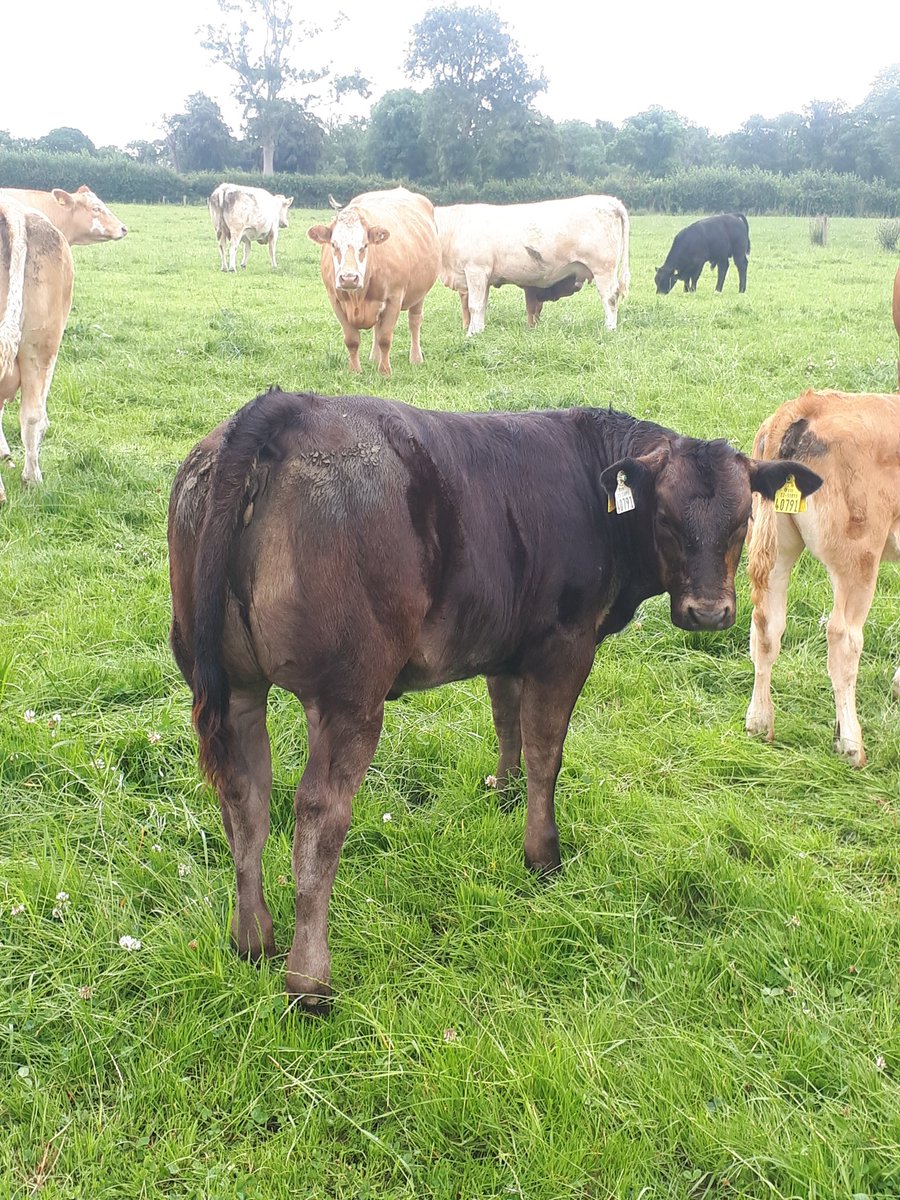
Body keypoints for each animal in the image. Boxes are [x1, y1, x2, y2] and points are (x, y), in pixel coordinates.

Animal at [167, 388, 821, 1009]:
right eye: (663, 516)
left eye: (744, 518)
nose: (708, 613)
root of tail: (289, 407)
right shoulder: (565, 644)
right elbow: (546, 752)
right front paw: (542, 854)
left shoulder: (506, 640)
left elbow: (507, 721)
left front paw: (501, 795)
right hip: (348, 691)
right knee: (318, 813)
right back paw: (309, 983)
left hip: (232, 683)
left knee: (244, 795)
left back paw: (252, 939)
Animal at [307, 187, 441, 377]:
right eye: (333, 245)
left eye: (364, 245)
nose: (349, 278)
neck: (357, 298)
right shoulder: (335, 300)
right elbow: (352, 340)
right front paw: (355, 371)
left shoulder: (394, 298)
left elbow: (385, 338)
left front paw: (385, 372)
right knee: (378, 327)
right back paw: (374, 357)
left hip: (420, 293)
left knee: (414, 322)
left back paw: (415, 358)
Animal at [434, 195, 630, 335]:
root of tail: (610, 201)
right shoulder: (484, 277)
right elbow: (482, 305)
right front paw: (479, 331)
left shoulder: (476, 270)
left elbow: (474, 305)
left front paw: (471, 334)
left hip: (603, 268)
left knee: (610, 298)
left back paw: (609, 329)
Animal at [745, 390, 900, 768]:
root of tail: (803, 406)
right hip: (858, 558)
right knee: (843, 638)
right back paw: (851, 745)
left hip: (775, 547)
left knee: (766, 625)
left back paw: (759, 722)